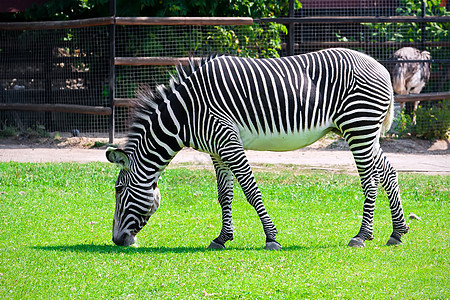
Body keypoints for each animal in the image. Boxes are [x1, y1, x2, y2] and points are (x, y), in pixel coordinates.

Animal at [107, 48, 410, 250]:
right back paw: (396, 232)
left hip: (358, 127)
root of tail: (381, 67)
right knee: (388, 173)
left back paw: (362, 235)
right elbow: (225, 195)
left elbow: (251, 191)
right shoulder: (216, 150)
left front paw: (271, 237)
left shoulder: (228, 141)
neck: (186, 114)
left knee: (370, 180)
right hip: (363, 131)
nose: (117, 240)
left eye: (119, 190)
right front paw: (222, 238)